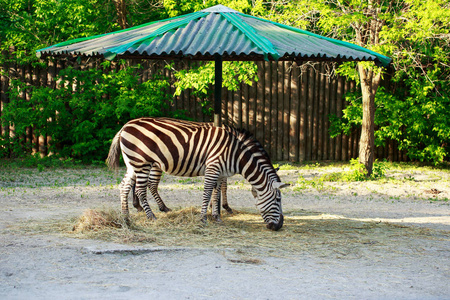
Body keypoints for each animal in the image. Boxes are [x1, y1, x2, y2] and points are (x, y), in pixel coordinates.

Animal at [107, 117, 286, 230]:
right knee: (141, 189)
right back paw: (151, 216)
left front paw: (217, 216)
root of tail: (124, 126)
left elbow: (216, 192)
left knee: (125, 186)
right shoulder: (213, 168)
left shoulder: (220, 172)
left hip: (133, 163)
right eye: (278, 199)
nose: (279, 226)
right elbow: (208, 192)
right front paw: (204, 218)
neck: (235, 153)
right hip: (142, 162)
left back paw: (126, 216)